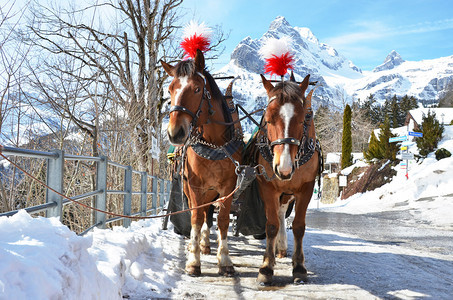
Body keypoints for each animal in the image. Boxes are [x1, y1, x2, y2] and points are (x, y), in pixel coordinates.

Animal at [161, 49, 242, 276]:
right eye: (170, 89)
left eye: (197, 89)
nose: (175, 133)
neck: (214, 145)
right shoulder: (195, 185)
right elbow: (196, 218)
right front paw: (193, 260)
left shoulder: (228, 187)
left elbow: (222, 220)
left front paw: (225, 260)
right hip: (189, 188)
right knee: (198, 213)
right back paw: (197, 245)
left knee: (209, 213)